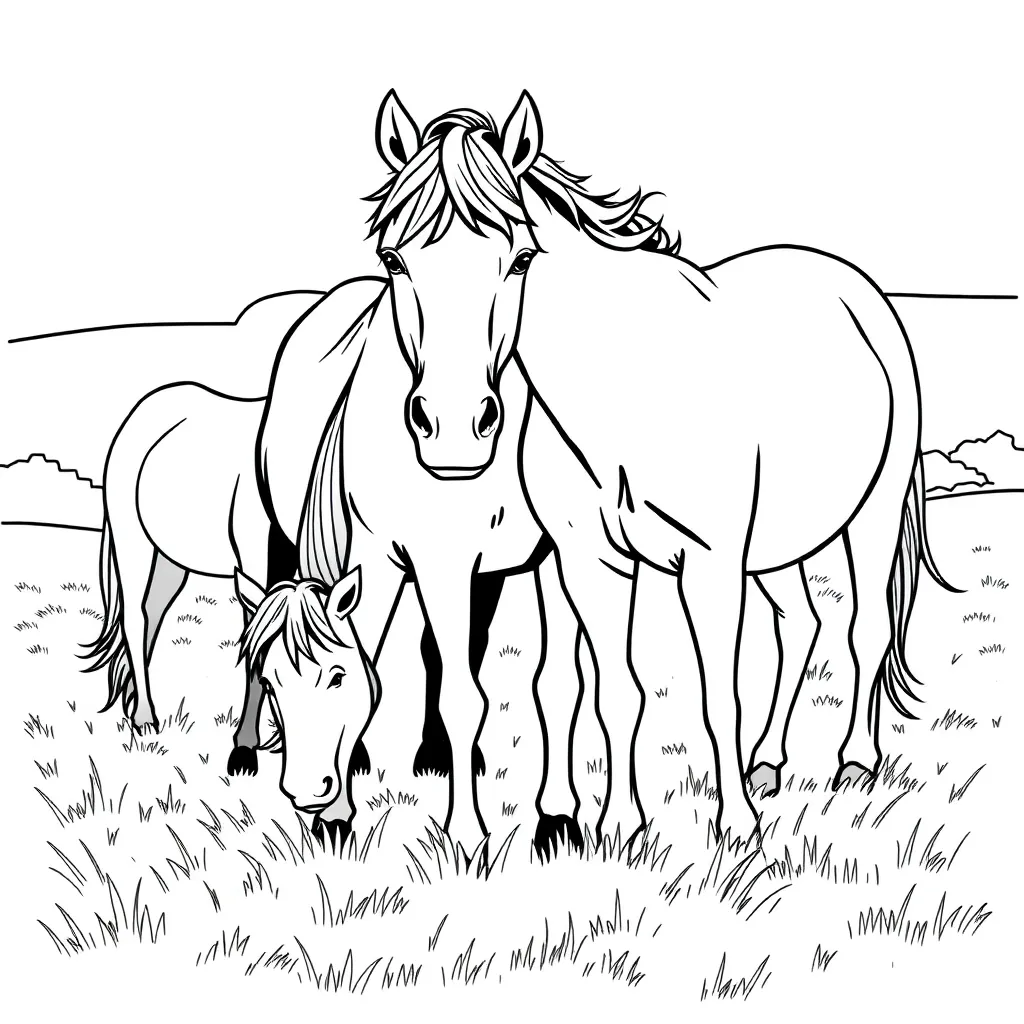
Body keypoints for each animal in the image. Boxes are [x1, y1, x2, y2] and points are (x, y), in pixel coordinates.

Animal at [82, 382, 375, 821]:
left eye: (339, 677)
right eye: (272, 684)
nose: (308, 790)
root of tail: (147, 405)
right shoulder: (255, 566)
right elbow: (253, 644)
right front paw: (245, 750)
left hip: (172, 559)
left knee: (153, 615)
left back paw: (135, 704)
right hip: (133, 539)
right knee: (136, 619)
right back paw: (146, 718)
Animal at [359, 90, 955, 850]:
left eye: (520, 257)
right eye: (394, 258)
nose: (454, 428)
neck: (624, 391)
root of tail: (852, 285)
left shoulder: (710, 562)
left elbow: (717, 694)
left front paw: (736, 827)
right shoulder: (591, 560)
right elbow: (617, 689)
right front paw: (621, 825)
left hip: (870, 513)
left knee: (865, 630)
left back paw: (852, 763)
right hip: (775, 546)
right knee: (800, 625)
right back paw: (768, 764)